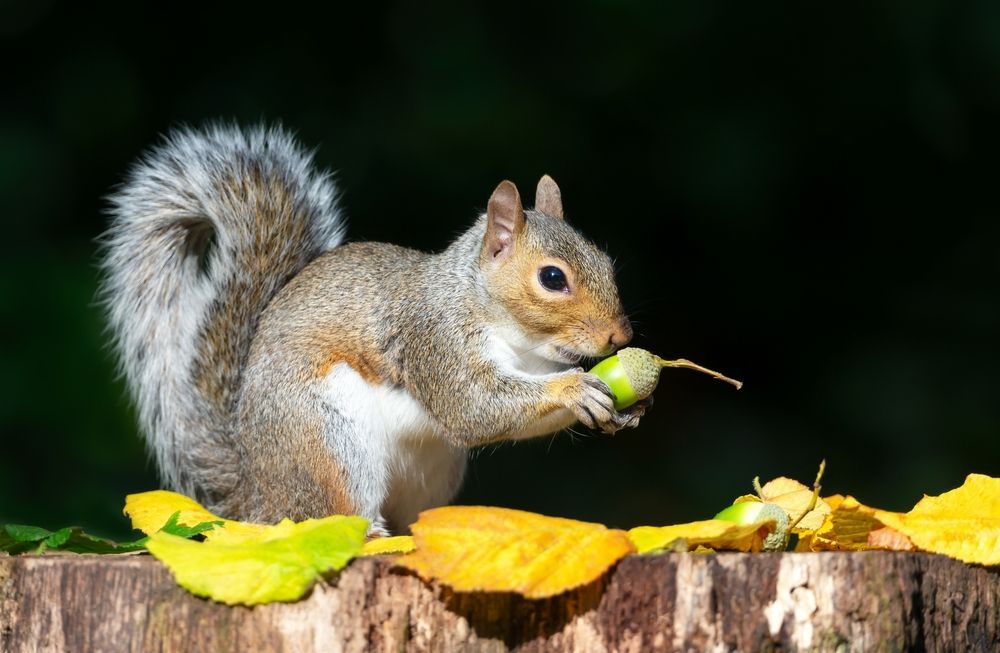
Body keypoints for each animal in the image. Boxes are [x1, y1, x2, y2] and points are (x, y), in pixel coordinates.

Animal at [101, 124, 649, 534]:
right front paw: (573, 389)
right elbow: (473, 408)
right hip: (328, 440)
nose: (619, 338)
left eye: (604, 261)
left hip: (431, 473)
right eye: (552, 278)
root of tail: (257, 494)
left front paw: (625, 407)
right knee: (331, 515)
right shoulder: (434, 339)